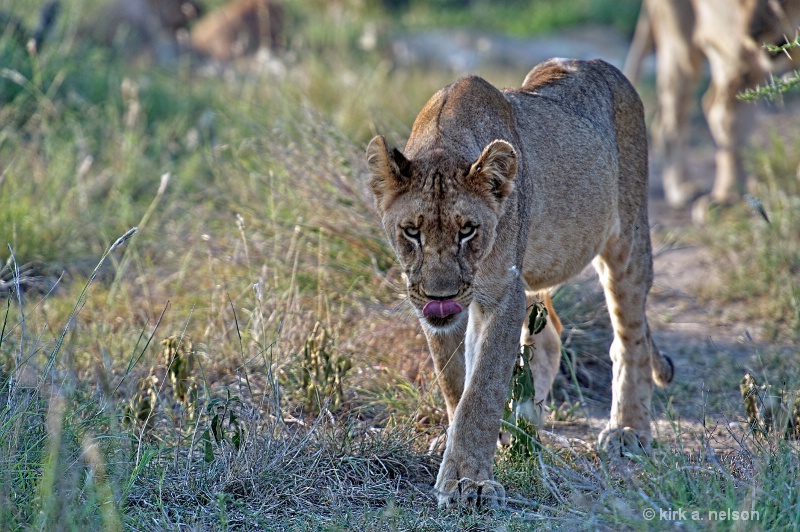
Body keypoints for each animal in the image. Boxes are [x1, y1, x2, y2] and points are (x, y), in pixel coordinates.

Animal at [368, 58, 676, 508]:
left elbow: (482, 389)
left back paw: (628, 430)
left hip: (628, 240)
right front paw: (468, 448)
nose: (441, 296)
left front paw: (469, 482)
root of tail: (599, 65)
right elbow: (455, 382)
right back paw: (527, 421)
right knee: (550, 338)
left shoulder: (502, 294)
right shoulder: (449, 310)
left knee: (629, 337)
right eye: (412, 231)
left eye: (468, 231)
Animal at [624, 0, 800, 212]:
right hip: (684, 40)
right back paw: (682, 187)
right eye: (743, 2)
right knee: (675, 119)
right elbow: (730, 121)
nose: (752, 34)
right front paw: (729, 198)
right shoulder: (734, 51)